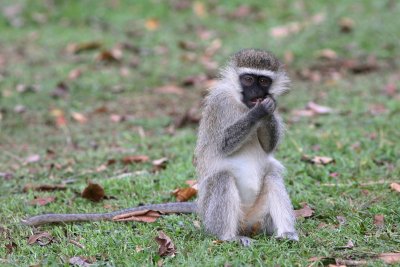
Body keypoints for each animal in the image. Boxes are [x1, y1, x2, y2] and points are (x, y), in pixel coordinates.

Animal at [21, 49, 296, 246]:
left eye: (263, 80)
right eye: (248, 79)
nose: (257, 94)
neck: (241, 104)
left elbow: (268, 146)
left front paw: (269, 107)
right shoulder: (218, 105)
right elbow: (222, 145)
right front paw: (260, 111)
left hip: (258, 216)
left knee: (271, 174)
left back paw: (286, 234)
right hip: (213, 213)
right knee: (221, 178)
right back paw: (229, 237)